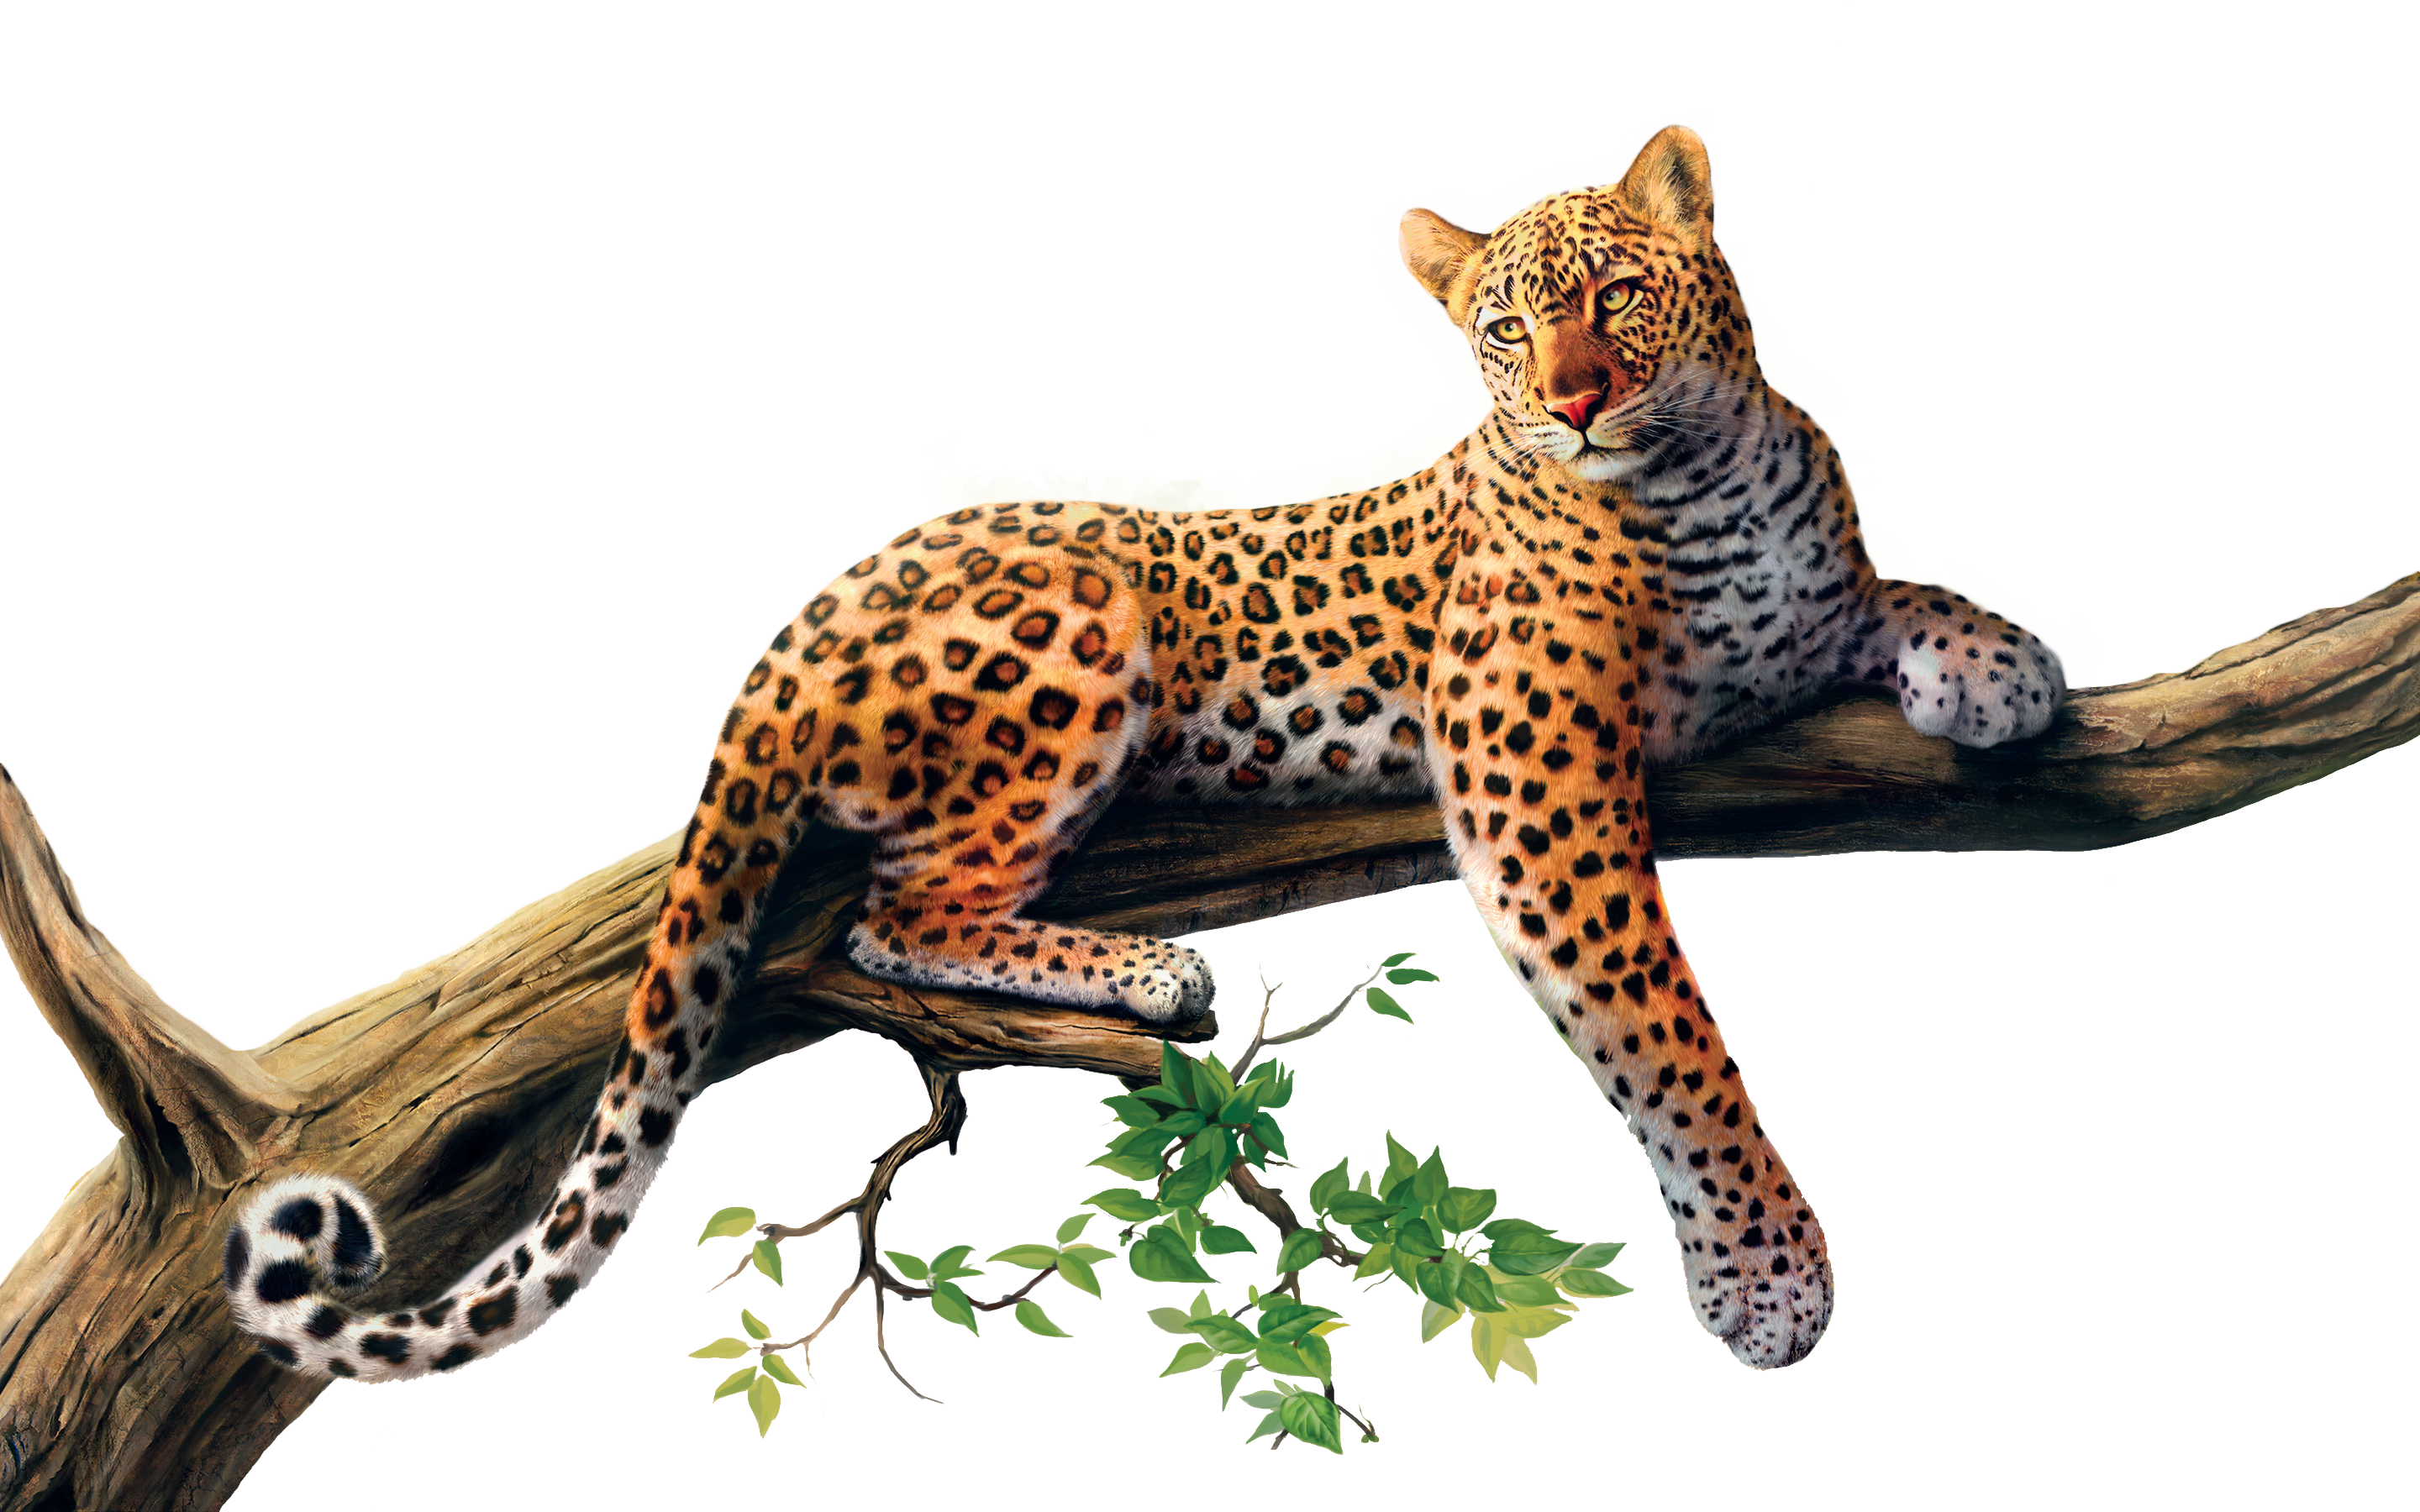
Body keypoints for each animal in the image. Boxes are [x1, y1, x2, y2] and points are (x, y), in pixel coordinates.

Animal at [225, 124, 2065, 1381]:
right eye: (1502, 327)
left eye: (1615, 292)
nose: (1576, 400)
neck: (1703, 478)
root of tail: (812, 611)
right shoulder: (1533, 775)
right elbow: (1667, 1032)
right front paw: (1765, 1271)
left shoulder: (1786, 626)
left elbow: (1886, 593)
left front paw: (2001, 662)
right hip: (1081, 620)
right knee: (901, 911)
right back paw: (1147, 973)